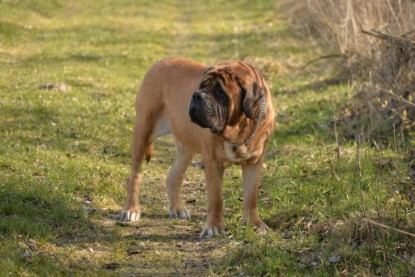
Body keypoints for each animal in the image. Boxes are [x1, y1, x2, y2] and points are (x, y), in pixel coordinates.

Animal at [122, 56, 274, 237]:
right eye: (202, 86)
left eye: (220, 91)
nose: (196, 95)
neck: (238, 128)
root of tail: (160, 61)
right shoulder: (213, 163)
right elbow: (216, 199)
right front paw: (214, 227)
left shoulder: (254, 163)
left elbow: (251, 197)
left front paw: (255, 224)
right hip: (143, 130)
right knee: (135, 174)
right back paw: (131, 210)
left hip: (185, 145)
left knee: (174, 175)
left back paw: (177, 208)